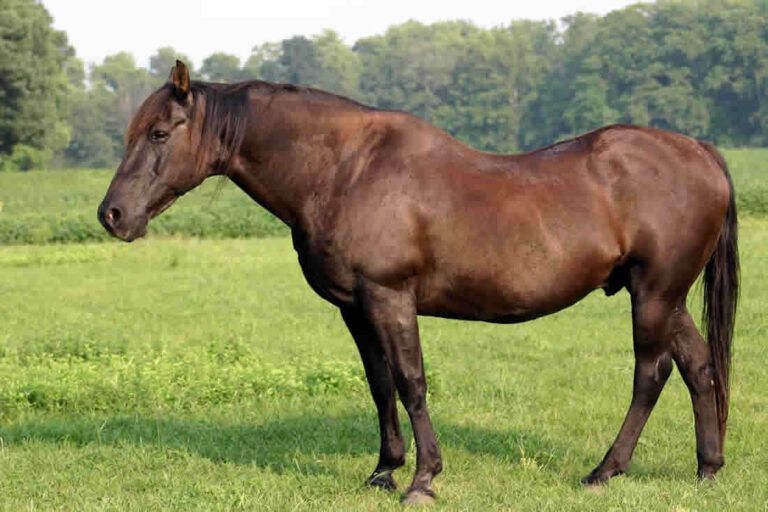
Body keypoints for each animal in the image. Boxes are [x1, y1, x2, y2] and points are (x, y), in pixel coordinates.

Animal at [98, 61, 738, 505]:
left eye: (160, 134)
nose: (112, 216)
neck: (346, 171)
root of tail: (700, 152)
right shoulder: (355, 308)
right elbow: (380, 384)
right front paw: (384, 470)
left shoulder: (390, 298)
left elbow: (411, 382)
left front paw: (424, 479)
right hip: (665, 297)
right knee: (699, 367)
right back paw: (707, 469)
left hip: (654, 294)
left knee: (650, 374)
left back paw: (605, 471)